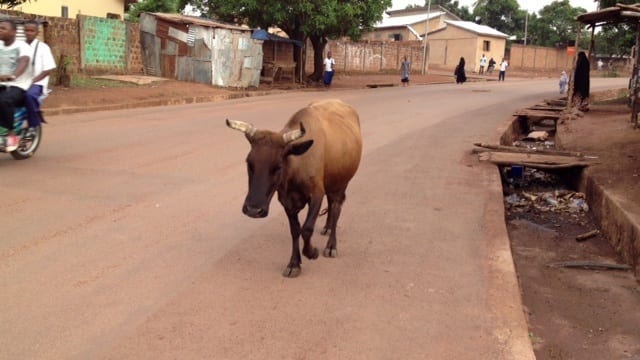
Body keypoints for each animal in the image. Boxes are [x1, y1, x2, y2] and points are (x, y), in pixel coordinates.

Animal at [228, 99, 362, 278]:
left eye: (277, 167)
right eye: (249, 163)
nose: (253, 210)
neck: (296, 166)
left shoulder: (316, 194)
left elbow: (306, 229)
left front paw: (312, 252)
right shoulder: (286, 201)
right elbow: (295, 231)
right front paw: (294, 264)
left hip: (341, 184)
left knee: (335, 209)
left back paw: (331, 245)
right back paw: (326, 228)